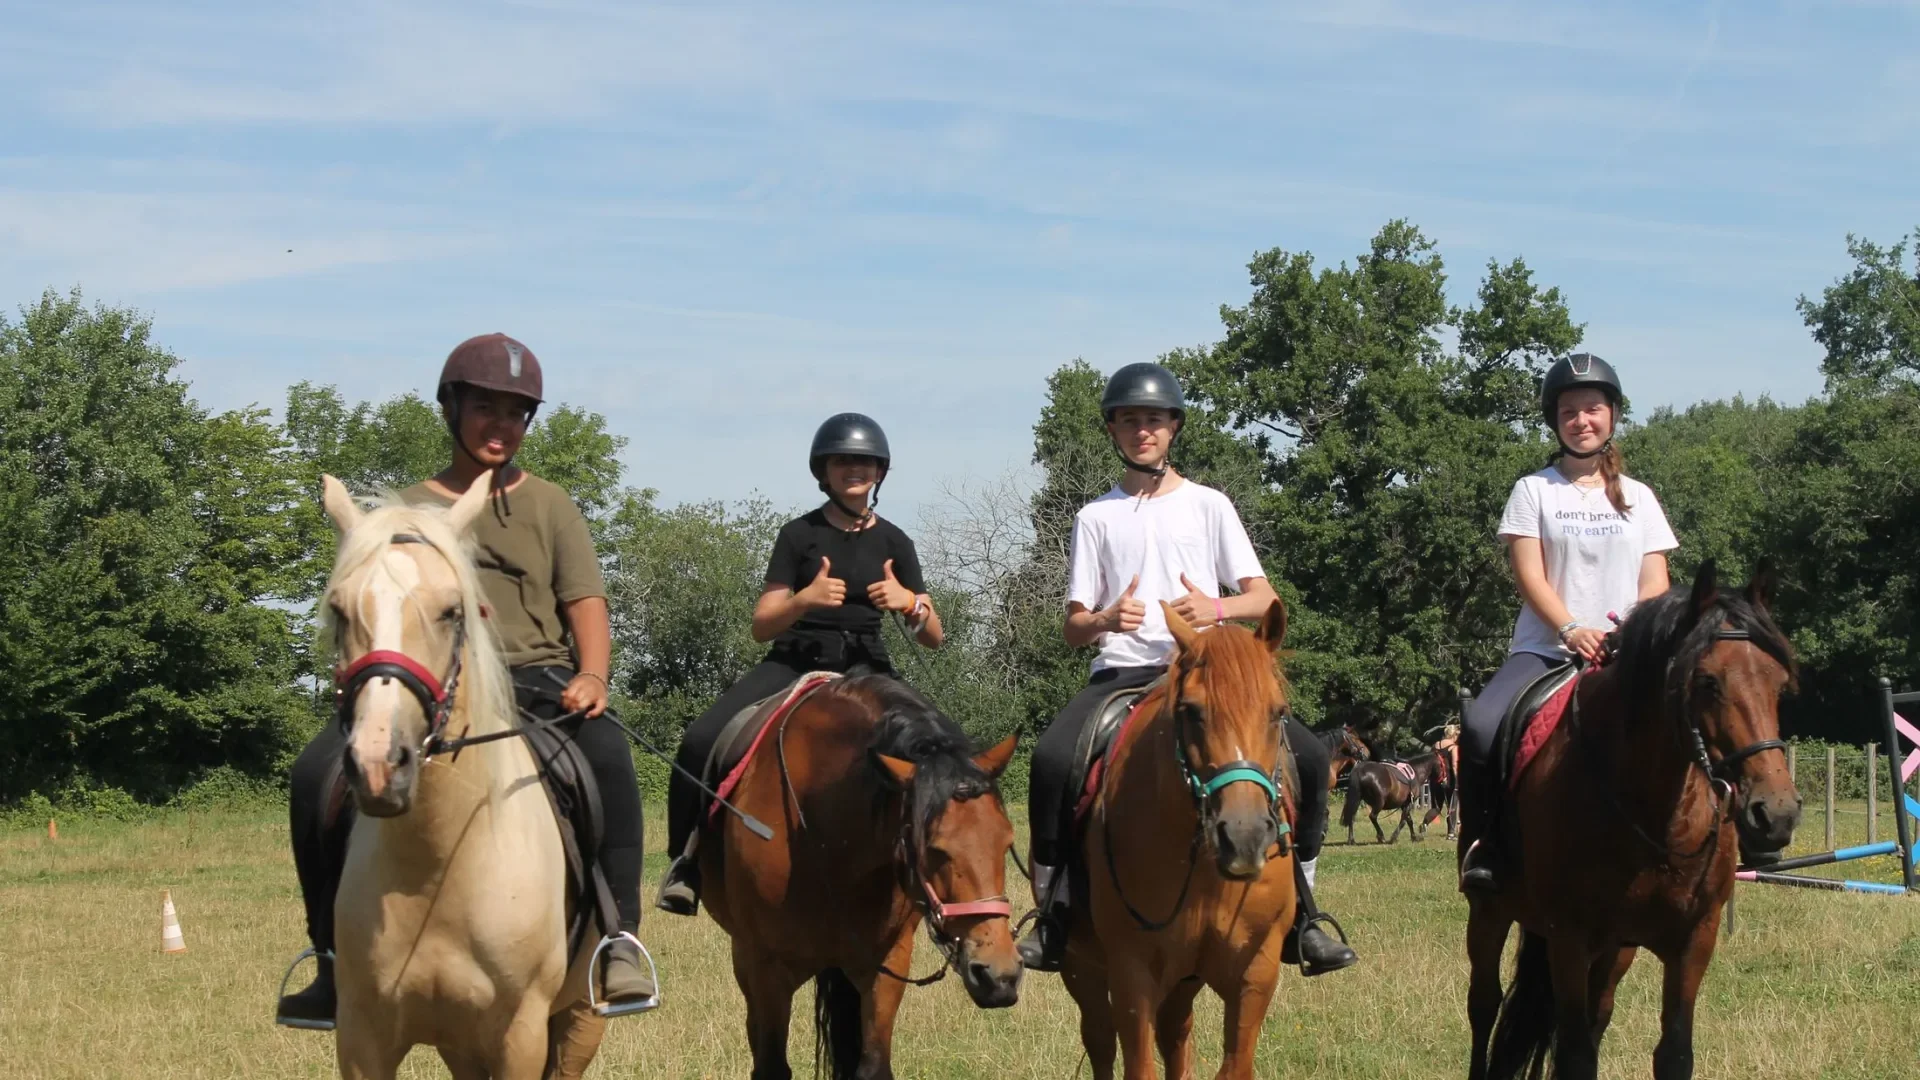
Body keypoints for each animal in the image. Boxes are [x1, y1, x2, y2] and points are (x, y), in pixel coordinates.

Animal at [320, 474, 606, 1076]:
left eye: (452, 611)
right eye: (339, 609)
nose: (380, 765)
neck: (437, 864)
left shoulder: (520, 1035)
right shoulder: (362, 1036)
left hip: (576, 1017)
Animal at [702, 668, 1029, 1068]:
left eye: (1006, 842)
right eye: (932, 848)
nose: (1000, 976)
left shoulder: (885, 966)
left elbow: (873, 1061)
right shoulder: (766, 969)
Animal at [1067, 595, 1305, 1076]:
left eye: (1279, 713)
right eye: (1191, 712)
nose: (1244, 837)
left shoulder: (1256, 971)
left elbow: (1233, 1066)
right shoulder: (1131, 974)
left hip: (1183, 980)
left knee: (1176, 1036)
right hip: (1084, 970)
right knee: (1100, 1040)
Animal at [1459, 564, 1804, 1076]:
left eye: (1779, 684)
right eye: (1707, 681)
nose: (1776, 812)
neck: (1654, 814)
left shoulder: (1694, 939)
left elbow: (1673, 1052)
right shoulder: (1569, 937)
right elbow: (1574, 1055)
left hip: (1616, 948)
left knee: (1596, 1013)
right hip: (1490, 910)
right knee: (1483, 1005)